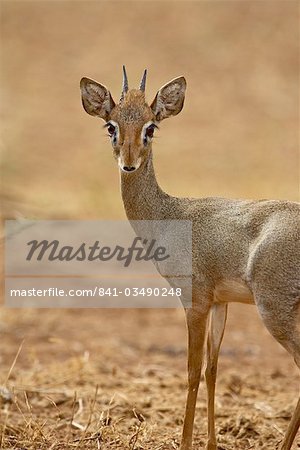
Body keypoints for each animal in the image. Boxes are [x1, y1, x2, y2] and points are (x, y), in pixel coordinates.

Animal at [80, 67, 300, 450]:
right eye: (111, 125)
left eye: (151, 126)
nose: (129, 164)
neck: (169, 214)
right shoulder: (220, 303)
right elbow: (213, 369)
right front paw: (211, 442)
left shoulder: (193, 301)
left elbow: (192, 371)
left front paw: (184, 442)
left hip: (275, 312)